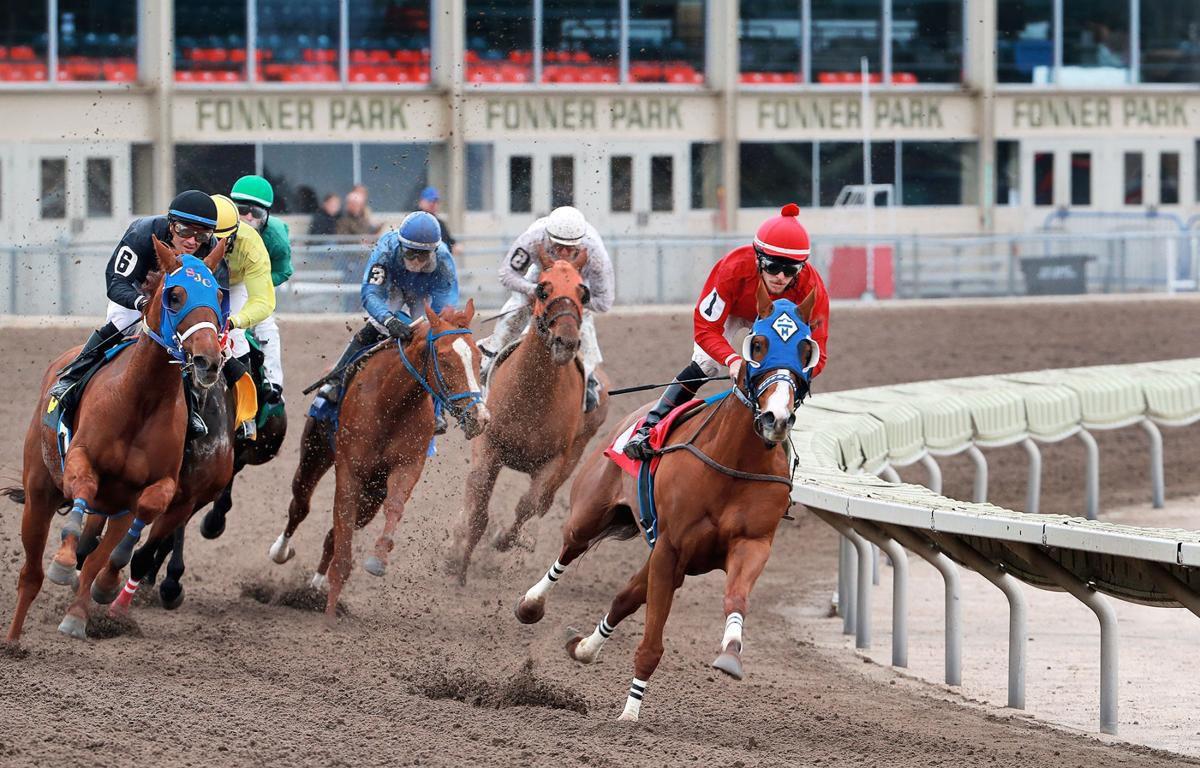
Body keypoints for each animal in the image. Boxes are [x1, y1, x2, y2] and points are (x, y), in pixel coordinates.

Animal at [5, 238, 226, 643]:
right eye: (175, 295)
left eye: (218, 294)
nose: (208, 361)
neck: (140, 399)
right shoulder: (79, 457)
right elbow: (84, 488)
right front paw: (64, 561)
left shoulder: (157, 485)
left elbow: (146, 511)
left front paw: (107, 584)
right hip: (40, 489)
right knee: (31, 573)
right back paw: (13, 641)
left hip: (115, 508)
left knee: (96, 554)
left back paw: (77, 615)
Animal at [272, 302, 487, 619]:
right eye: (446, 358)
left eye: (478, 356)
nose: (480, 418)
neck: (391, 404)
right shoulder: (349, 471)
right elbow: (338, 534)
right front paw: (329, 615)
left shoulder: (407, 467)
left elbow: (394, 507)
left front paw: (378, 557)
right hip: (315, 452)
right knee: (300, 505)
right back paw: (280, 551)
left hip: (372, 495)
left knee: (334, 533)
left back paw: (315, 586)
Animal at [444, 252, 604, 580]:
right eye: (543, 289)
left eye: (583, 293)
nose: (566, 342)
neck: (533, 397)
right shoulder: (488, 445)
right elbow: (478, 506)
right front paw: (460, 561)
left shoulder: (554, 460)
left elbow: (527, 505)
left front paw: (505, 539)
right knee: (472, 492)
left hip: (572, 456)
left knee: (542, 503)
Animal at [511, 285, 820, 724]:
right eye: (758, 344)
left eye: (805, 350)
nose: (775, 418)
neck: (734, 461)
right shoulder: (671, 548)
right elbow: (651, 644)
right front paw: (629, 714)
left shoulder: (750, 544)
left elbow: (735, 598)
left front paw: (730, 654)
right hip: (591, 515)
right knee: (569, 551)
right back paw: (531, 605)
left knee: (625, 595)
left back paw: (584, 647)